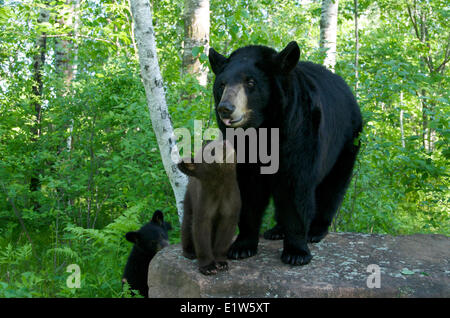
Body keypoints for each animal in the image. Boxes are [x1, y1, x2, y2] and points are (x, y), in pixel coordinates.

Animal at [178, 140, 243, 276]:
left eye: (218, 141)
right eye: (211, 151)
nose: (225, 142)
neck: (221, 186)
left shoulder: (231, 202)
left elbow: (225, 232)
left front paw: (221, 262)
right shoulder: (204, 203)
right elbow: (201, 231)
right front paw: (208, 267)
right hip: (188, 201)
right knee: (186, 225)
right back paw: (189, 252)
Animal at [210, 41, 362, 266]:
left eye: (251, 82)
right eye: (222, 84)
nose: (226, 108)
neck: (262, 131)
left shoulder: (297, 133)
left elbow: (295, 187)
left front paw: (296, 251)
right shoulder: (243, 151)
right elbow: (248, 191)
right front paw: (241, 246)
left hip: (347, 142)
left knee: (333, 186)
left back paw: (316, 230)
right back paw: (276, 230)